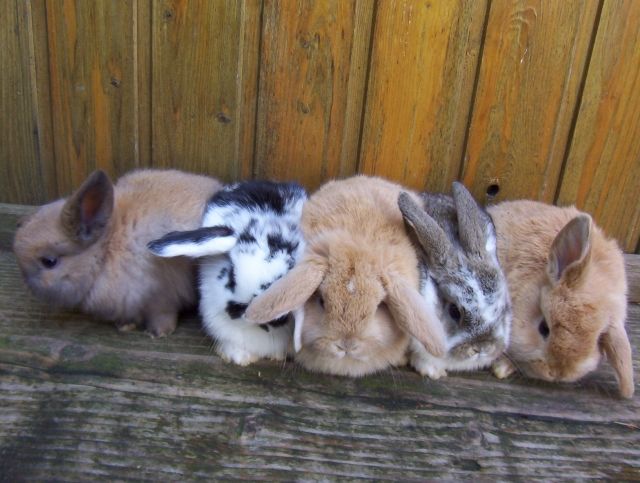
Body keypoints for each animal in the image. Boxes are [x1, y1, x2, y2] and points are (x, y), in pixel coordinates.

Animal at [12, 169, 222, 337]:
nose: (26, 284)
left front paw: (158, 333)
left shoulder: (160, 295)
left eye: (49, 261)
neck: (106, 250)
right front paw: (125, 326)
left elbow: (163, 315)